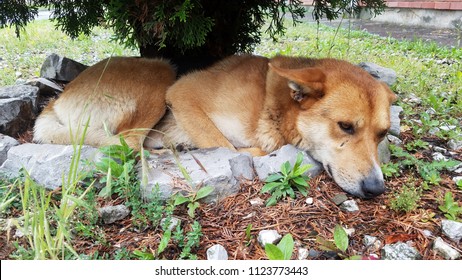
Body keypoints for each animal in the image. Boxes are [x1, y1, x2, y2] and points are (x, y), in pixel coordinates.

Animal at [35, 55, 398, 199]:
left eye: (381, 134)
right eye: (345, 126)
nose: (376, 189)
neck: (272, 103)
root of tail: (55, 101)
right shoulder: (183, 93)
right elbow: (225, 144)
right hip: (161, 74)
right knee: (125, 142)